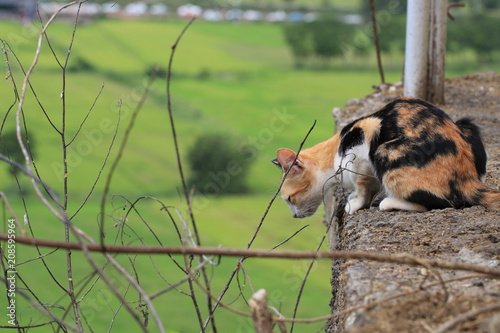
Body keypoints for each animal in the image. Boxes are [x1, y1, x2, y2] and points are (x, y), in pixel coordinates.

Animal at [274, 97, 500, 217]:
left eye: (289, 198)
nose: (293, 215)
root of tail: (467, 178)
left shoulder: (363, 141)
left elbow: (362, 187)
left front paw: (354, 203)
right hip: (468, 126)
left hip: (385, 151)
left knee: (441, 202)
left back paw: (389, 202)